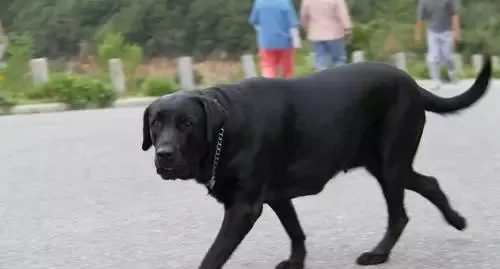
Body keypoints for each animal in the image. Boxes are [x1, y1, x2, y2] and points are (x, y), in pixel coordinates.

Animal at [141, 55, 492, 268]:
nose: (164, 154)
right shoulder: (275, 196)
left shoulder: (243, 209)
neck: (226, 132)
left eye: (187, 123)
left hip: (391, 164)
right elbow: (295, 229)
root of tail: (413, 84)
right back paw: (457, 220)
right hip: (384, 163)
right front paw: (297, 261)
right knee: (429, 183)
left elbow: (213, 255)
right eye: (156, 123)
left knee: (399, 215)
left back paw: (378, 254)